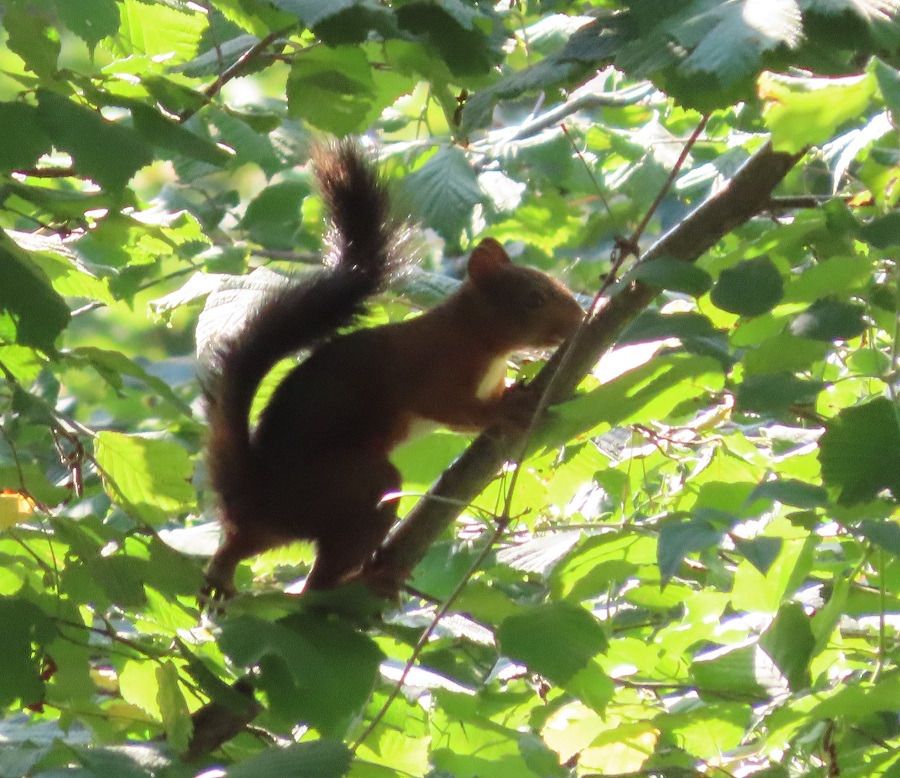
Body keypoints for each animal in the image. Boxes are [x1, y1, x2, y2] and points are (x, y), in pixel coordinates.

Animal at [203, 141, 584, 598]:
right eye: (534, 298)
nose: (580, 316)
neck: (476, 336)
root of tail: (252, 498)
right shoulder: (432, 370)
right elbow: (453, 409)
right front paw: (509, 409)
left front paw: (519, 391)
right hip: (353, 487)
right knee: (317, 581)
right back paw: (370, 577)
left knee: (245, 547)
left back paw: (223, 571)